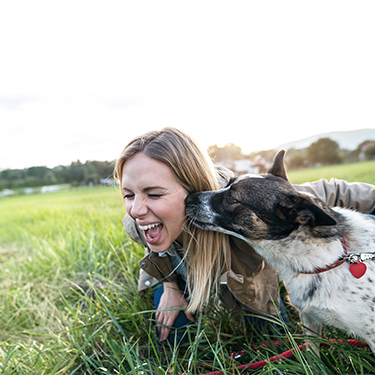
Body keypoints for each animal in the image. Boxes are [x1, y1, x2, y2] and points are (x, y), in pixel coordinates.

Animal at [187, 151, 375, 356]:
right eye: (227, 183)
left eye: (231, 198)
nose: (188, 198)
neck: (330, 257)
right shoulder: (309, 321)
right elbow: (312, 357)